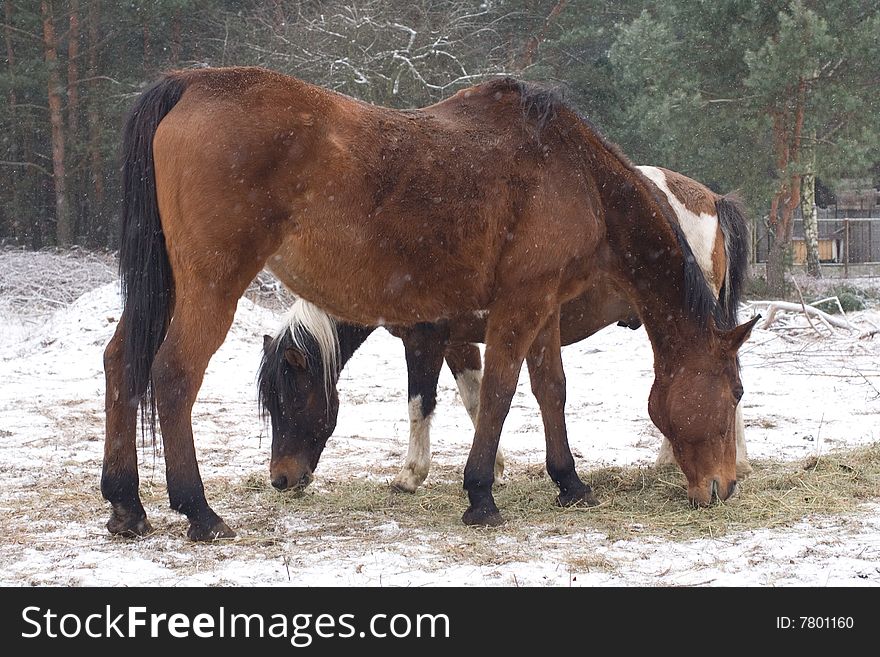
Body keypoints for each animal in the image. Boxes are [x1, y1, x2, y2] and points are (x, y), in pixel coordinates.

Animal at [258, 164, 752, 492]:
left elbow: (420, 403)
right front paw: (493, 467)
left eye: (291, 399)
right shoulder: (459, 342)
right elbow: (476, 401)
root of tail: (710, 198)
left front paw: (411, 474)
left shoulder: (424, 340)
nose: (281, 479)